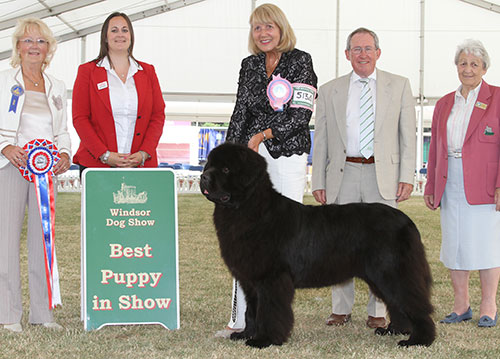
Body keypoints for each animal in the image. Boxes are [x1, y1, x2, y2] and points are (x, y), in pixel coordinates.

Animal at [201, 143, 436, 348]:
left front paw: (264, 340)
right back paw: (394, 330)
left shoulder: (271, 279)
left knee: (414, 303)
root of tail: (407, 221)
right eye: (209, 165)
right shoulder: (251, 280)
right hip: (380, 276)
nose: (203, 177)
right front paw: (246, 334)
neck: (251, 209)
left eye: (226, 169)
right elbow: (251, 311)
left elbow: (269, 311)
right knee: (397, 303)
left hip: (392, 272)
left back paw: (418, 340)